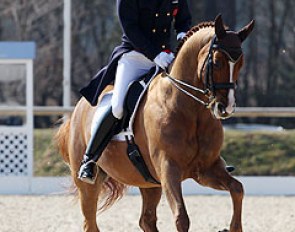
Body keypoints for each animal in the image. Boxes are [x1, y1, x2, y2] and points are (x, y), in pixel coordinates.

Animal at [56, 15, 256, 231]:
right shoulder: (168, 169)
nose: (225, 107)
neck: (190, 111)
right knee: (90, 222)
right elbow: (181, 217)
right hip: (89, 185)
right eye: (217, 63)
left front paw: (233, 227)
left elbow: (237, 188)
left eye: (241, 64)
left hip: (149, 182)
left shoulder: (206, 169)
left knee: (146, 220)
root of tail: (78, 108)